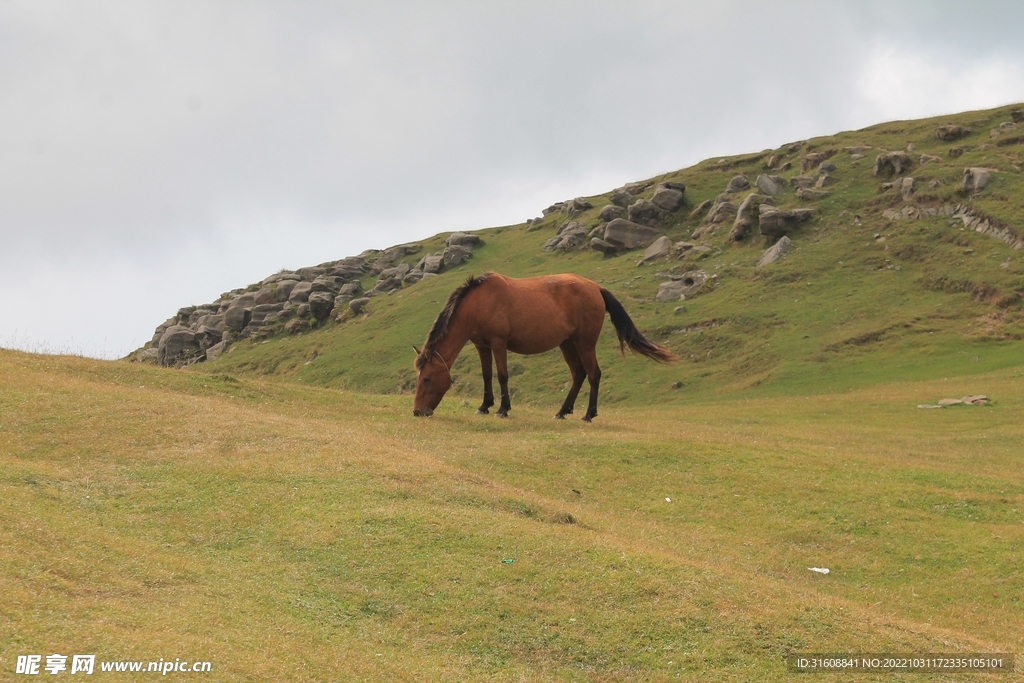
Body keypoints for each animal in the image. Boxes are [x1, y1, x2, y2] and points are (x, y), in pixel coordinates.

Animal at [411, 270, 675, 419]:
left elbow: (502, 376)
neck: (479, 303)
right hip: (567, 344)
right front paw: (485, 406)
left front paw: (503, 409)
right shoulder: (482, 345)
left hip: (584, 343)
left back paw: (589, 414)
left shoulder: (498, 343)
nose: (417, 411)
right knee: (579, 374)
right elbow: (487, 376)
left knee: (593, 374)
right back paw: (562, 411)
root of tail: (596, 288)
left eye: (427, 378)